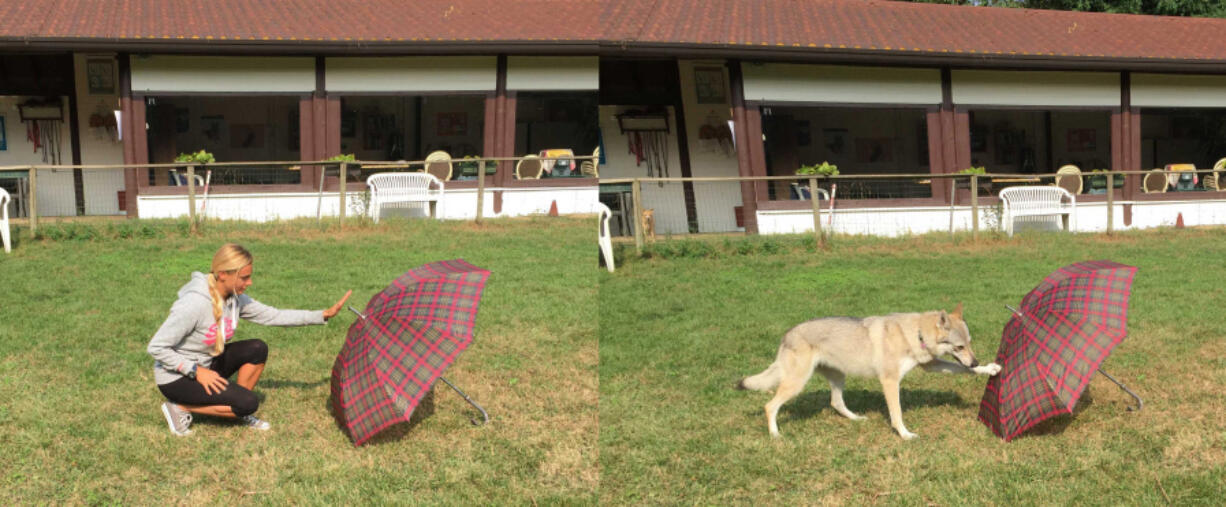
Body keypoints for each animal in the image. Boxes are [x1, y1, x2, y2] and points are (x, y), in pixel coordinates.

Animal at [735, 302, 995, 438]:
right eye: (959, 346)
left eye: (970, 343)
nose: (974, 361)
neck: (917, 333)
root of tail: (787, 335)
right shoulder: (890, 382)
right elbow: (897, 413)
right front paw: (905, 435)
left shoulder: (931, 365)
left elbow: (963, 370)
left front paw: (990, 368)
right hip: (797, 383)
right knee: (770, 406)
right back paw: (775, 435)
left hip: (838, 378)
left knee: (836, 403)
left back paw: (857, 419)